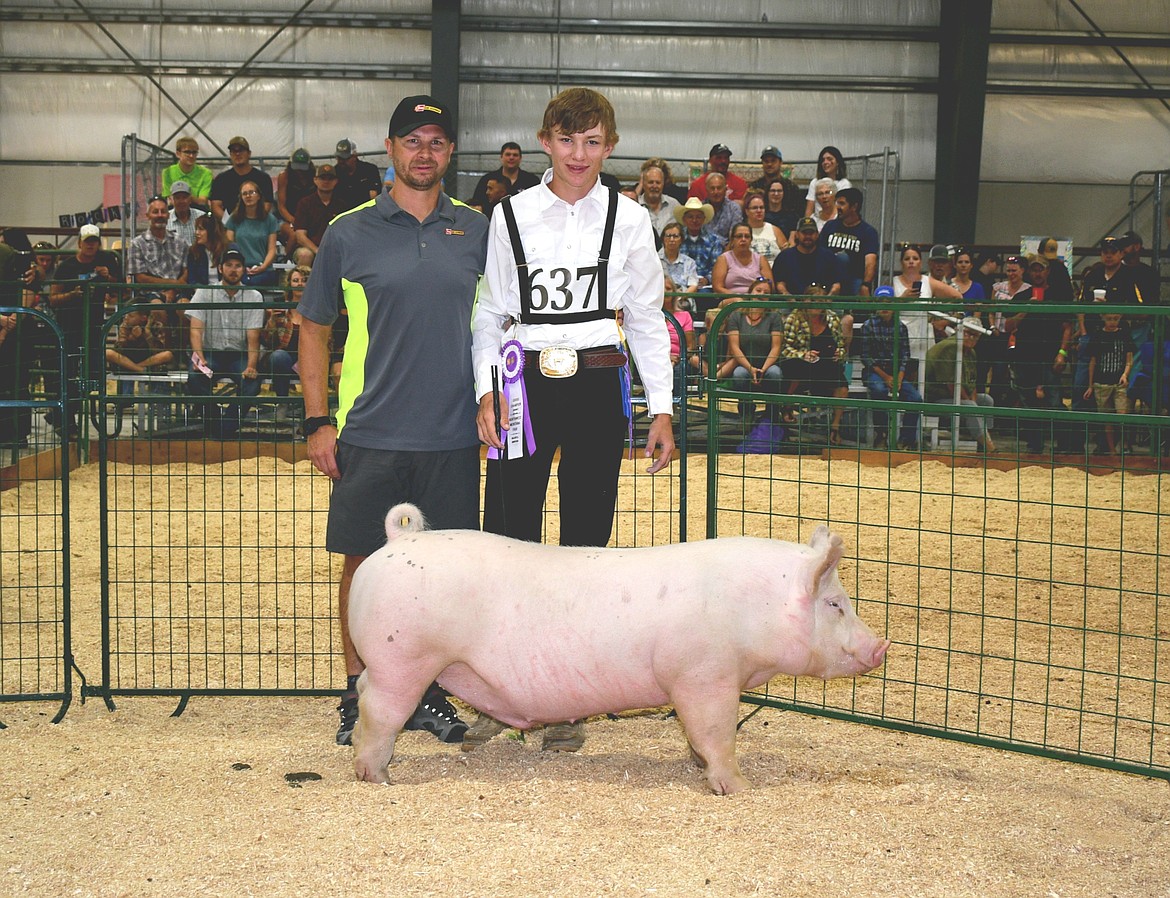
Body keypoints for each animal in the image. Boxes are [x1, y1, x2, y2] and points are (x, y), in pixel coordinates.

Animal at [346, 505, 884, 795]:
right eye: (835, 603)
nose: (881, 645)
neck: (754, 608)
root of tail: (398, 539)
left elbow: (700, 740)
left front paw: (698, 767)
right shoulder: (703, 676)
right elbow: (716, 735)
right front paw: (739, 788)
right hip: (404, 658)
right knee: (378, 710)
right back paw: (378, 778)